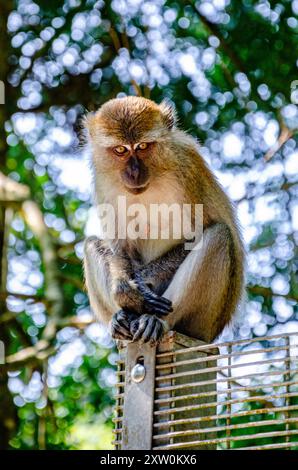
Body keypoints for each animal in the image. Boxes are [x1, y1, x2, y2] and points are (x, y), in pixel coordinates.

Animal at [83, 96, 244, 346]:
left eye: (142, 147)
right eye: (120, 150)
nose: (134, 173)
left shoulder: (187, 167)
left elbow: (199, 233)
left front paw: (141, 281)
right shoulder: (102, 180)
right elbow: (120, 248)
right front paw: (124, 290)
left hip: (205, 321)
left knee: (219, 235)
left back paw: (156, 321)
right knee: (91, 244)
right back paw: (122, 317)